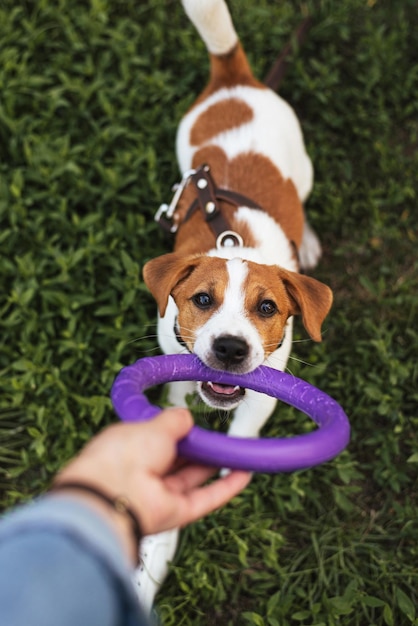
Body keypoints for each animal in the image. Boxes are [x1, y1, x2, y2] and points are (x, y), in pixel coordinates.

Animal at [137, 0, 334, 608]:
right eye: (201, 299)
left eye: (267, 309)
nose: (228, 349)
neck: (235, 241)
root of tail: (235, 79)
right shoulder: (175, 367)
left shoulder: (263, 393)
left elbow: (243, 437)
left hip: (305, 167)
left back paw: (307, 239)